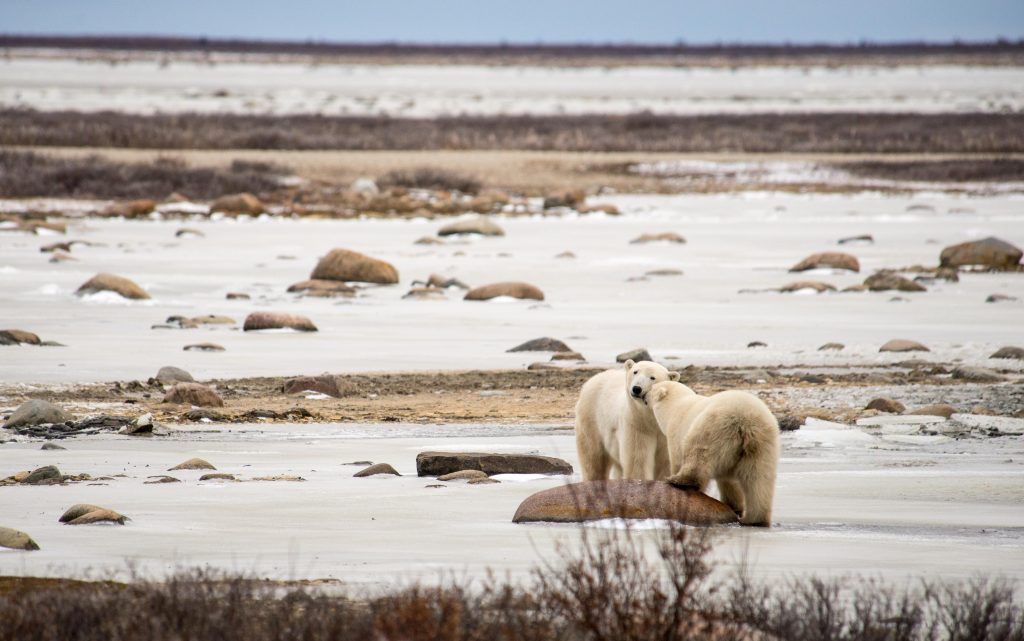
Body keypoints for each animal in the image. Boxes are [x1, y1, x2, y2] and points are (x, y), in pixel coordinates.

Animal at [647, 381, 779, 527]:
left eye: (651, 388)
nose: (642, 393)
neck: (675, 405)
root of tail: (745, 420)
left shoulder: (675, 432)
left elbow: (677, 460)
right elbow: (728, 481)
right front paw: (733, 505)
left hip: (713, 428)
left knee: (698, 455)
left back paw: (681, 481)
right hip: (762, 443)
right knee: (758, 478)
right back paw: (755, 519)